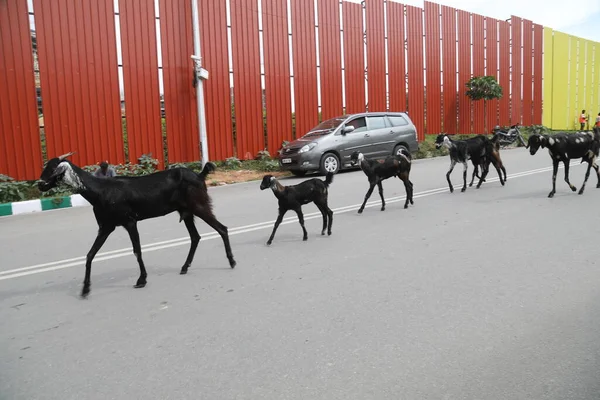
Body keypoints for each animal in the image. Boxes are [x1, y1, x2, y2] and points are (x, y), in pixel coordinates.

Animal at [37, 152, 237, 298]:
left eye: (52, 168)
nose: (39, 184)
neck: (101, 191)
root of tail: (199, 175)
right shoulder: (106, 227)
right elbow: (90, 255)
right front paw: (85, 289)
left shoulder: (129, 221)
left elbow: (137, 250)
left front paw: (142, 279)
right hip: (186, 211)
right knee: (195, 237)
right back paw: (185, 267)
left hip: (199, 205)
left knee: (222, 228)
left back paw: (232, 261)